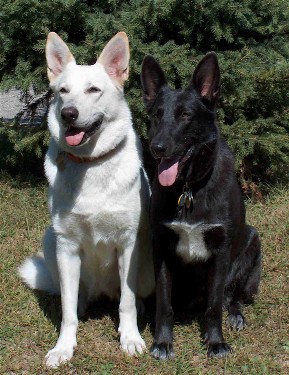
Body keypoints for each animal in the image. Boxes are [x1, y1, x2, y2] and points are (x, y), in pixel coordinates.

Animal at [17, 30, 153, 368]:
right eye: (63, 91)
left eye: (94, 89)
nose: (68, 114)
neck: (91, 164)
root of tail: (102, 292)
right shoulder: (67, 245)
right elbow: (67, 312)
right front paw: (64, 347)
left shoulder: (128, 243)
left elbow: (128, 303)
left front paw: (130, 337)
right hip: (50, 241)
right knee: (73, 298)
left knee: (131, 296)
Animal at [140, 51, 260, 360]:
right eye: (156, 115)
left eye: (185, 115)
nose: (156, 148)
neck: (189, 189)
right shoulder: (161, 248)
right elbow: (164, 305)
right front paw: (163, 342)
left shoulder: (220, 253)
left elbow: (214, 305)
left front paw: (215, 342)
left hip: (253, 244)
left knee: (233, 297)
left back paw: (235, 315)